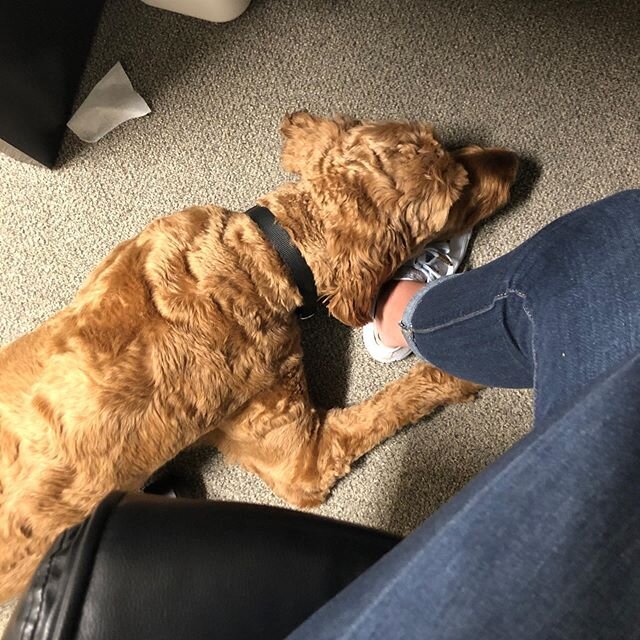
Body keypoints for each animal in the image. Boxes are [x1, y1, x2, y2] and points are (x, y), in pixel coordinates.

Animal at [0, 111, 520, 600]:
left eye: (443, 143)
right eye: (458, 196)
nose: (515, 161)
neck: (261, 256)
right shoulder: (303, 458)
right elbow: (389, 405)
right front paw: (460, 371)